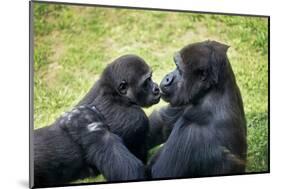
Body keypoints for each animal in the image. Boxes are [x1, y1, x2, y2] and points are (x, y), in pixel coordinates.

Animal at [148, 40, 246, 178]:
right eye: (175, 66)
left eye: (179, 69)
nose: (167, 77)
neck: (211, 91)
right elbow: (161, 122)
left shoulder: (192, 133)